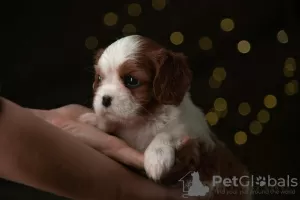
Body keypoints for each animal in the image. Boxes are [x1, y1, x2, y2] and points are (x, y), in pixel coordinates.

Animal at [79, 34, 216, 181]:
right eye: (99, 78)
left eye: (131, 80)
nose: (104, 99)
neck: (142, 119)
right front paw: (93, 119)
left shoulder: (192, 132)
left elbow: (168, 133)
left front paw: (157, 156)